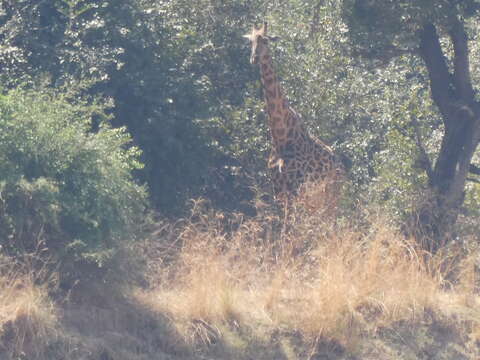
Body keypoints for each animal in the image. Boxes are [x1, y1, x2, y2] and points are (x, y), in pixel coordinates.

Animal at [244, 22, 344, 210]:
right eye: (251, 41)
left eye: (266, 41)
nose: (254, 59)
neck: (281, 137)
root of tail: (339, 163)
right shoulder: (278, 186)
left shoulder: (297, 184)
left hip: (330, 191)